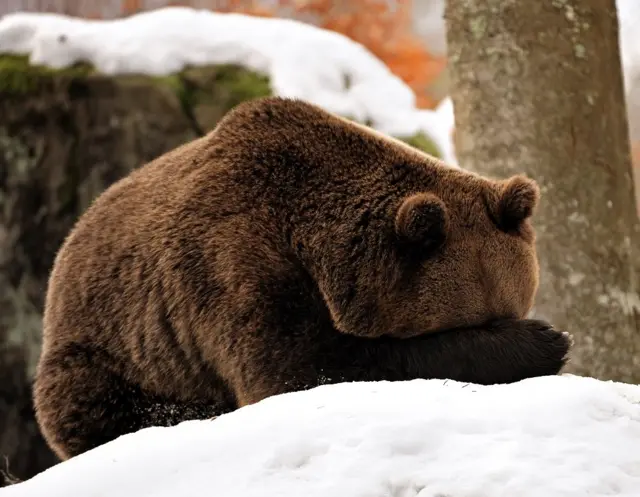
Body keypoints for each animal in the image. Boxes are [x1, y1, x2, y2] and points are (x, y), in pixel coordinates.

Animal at [33, 96, 571, 461]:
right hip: (108, 349)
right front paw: (547, 341)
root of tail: (66, 249)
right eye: (473, 323)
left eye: (510, 305)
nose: (516, 327)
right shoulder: (237, 265)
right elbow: (296, 371)